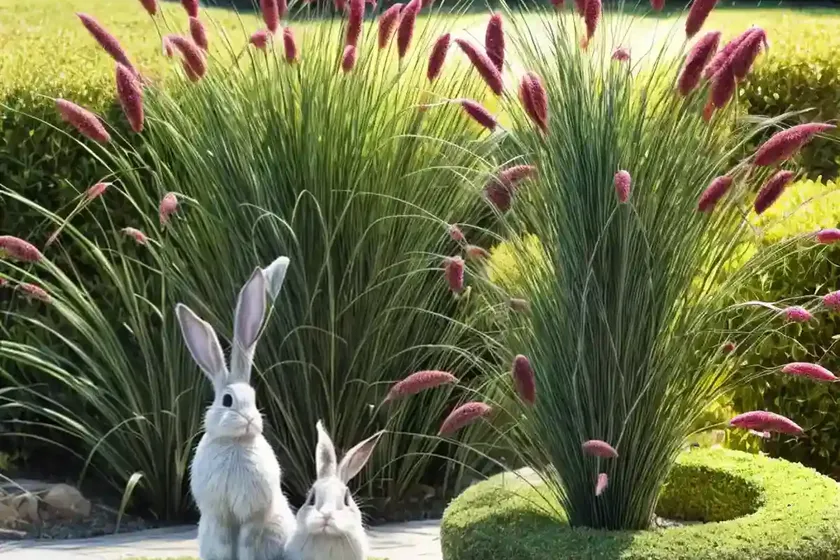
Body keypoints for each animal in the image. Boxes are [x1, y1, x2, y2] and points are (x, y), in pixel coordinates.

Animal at [176, 256, 296, 560]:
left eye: (253, 399)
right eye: (227, 400)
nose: (251, 421)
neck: (235, 442)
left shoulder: (252, 516)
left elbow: (246, 542)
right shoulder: (218, 516)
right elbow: (223, 543)